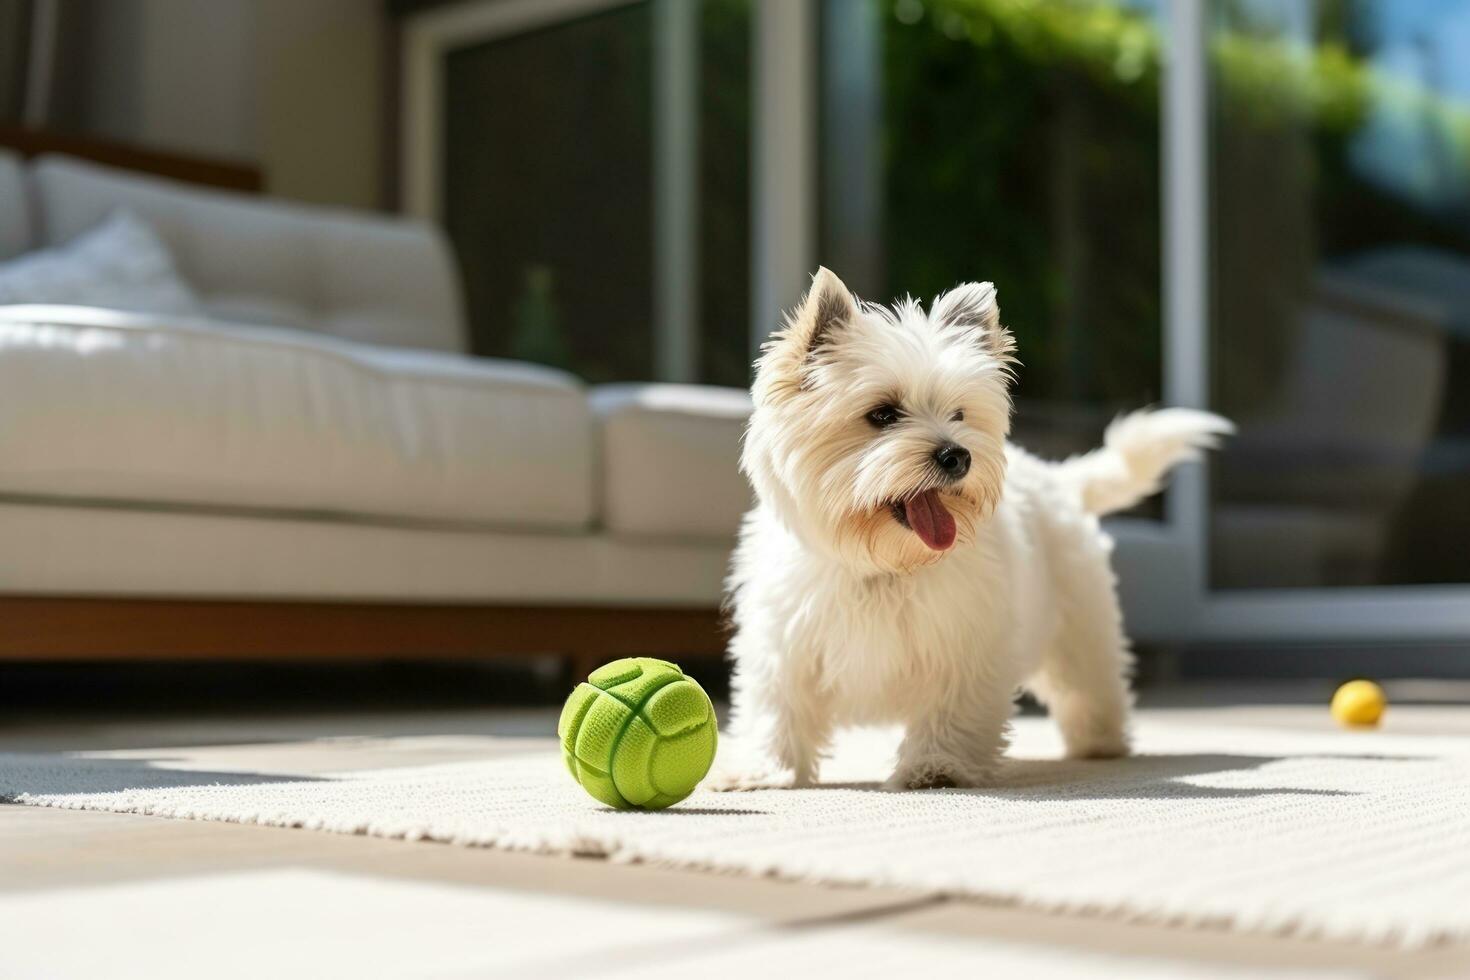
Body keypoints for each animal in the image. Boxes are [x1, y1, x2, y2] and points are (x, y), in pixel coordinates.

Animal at [720, 265, 1228, 787]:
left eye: (959, 414)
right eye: (882, 414)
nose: (957, 455)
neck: (885, 565)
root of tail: (1058, 477)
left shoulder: (963, 644)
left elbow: (950, 708)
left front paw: (936, 766)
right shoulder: (784, 646)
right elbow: (776, 710)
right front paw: (763, 769)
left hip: (1080, 623)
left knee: (1090, 679)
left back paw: (1100, 741)